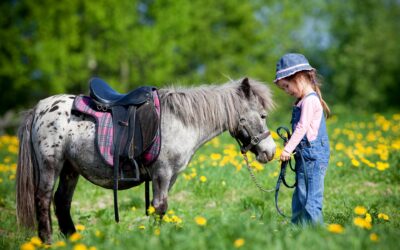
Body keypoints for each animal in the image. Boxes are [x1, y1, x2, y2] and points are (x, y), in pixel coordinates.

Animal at [17, 77, 276, 242]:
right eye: (262, 116)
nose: (271, 152)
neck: (180, 121)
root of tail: (39, 109)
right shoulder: (162, 172)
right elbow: (160, 207)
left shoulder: (170, 177)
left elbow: (156, 208)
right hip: (51, 165)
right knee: (43, 200)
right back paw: (48, 241)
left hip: (70, 169)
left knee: (62, 202)